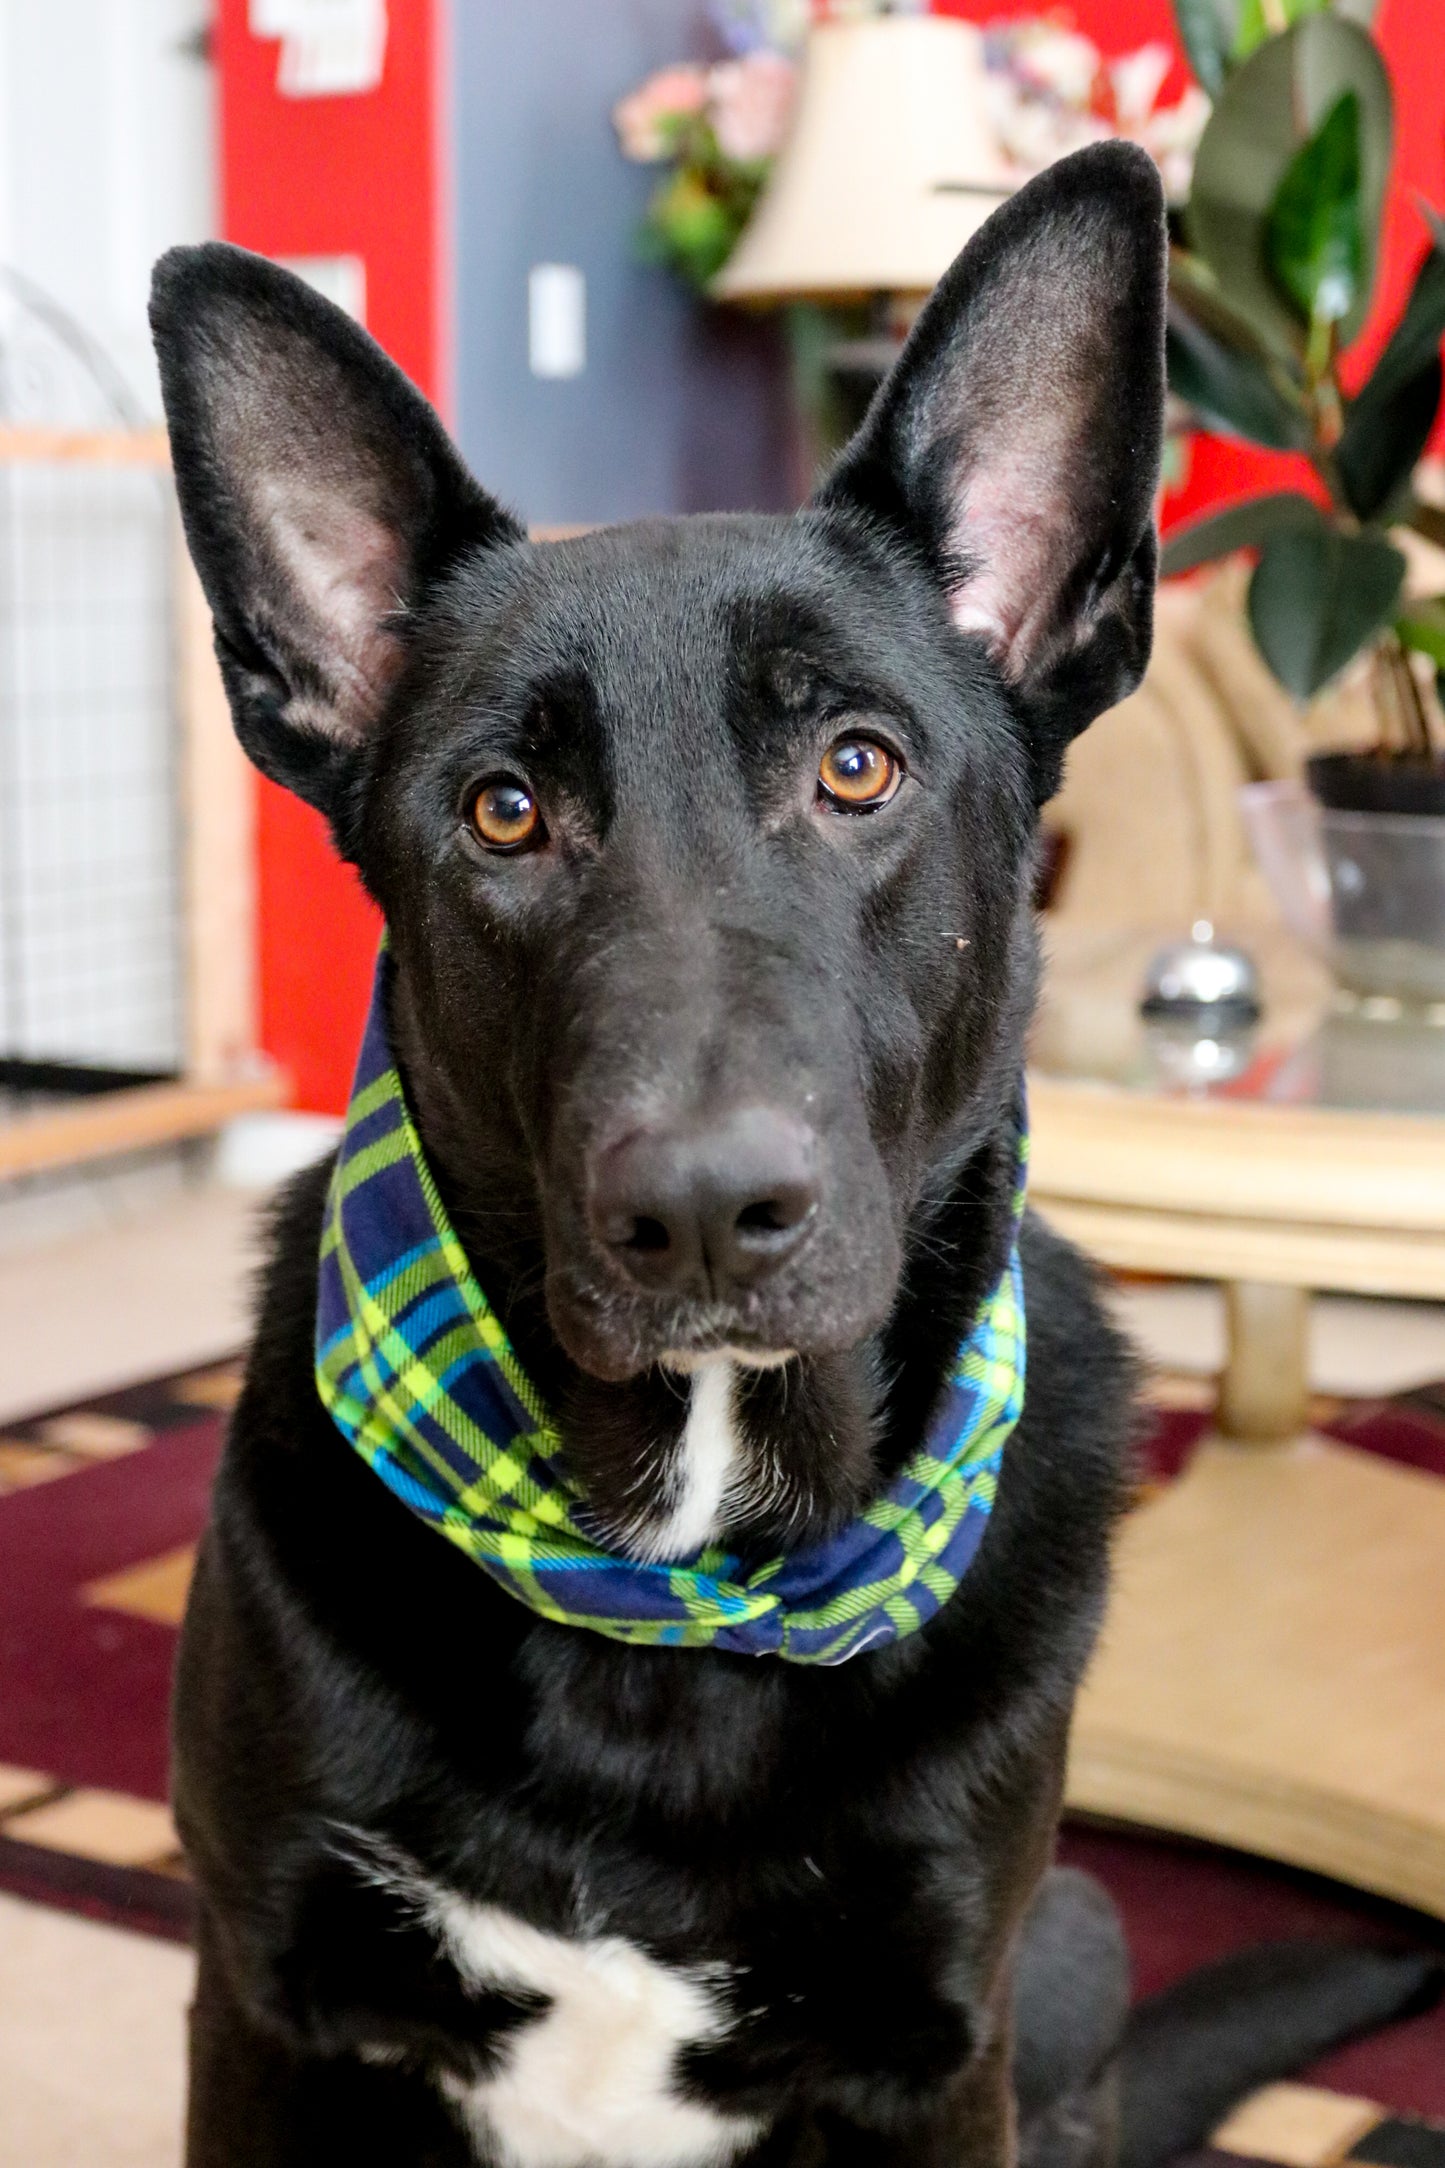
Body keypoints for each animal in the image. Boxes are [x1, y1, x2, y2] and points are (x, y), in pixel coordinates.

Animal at [149, 144, 1438, 2159]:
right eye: (501, 811)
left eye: (856, 765)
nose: (698, 1214)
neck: (679, 1586)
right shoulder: (268, 1998)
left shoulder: (937, 2039)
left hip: (1075, 1938)